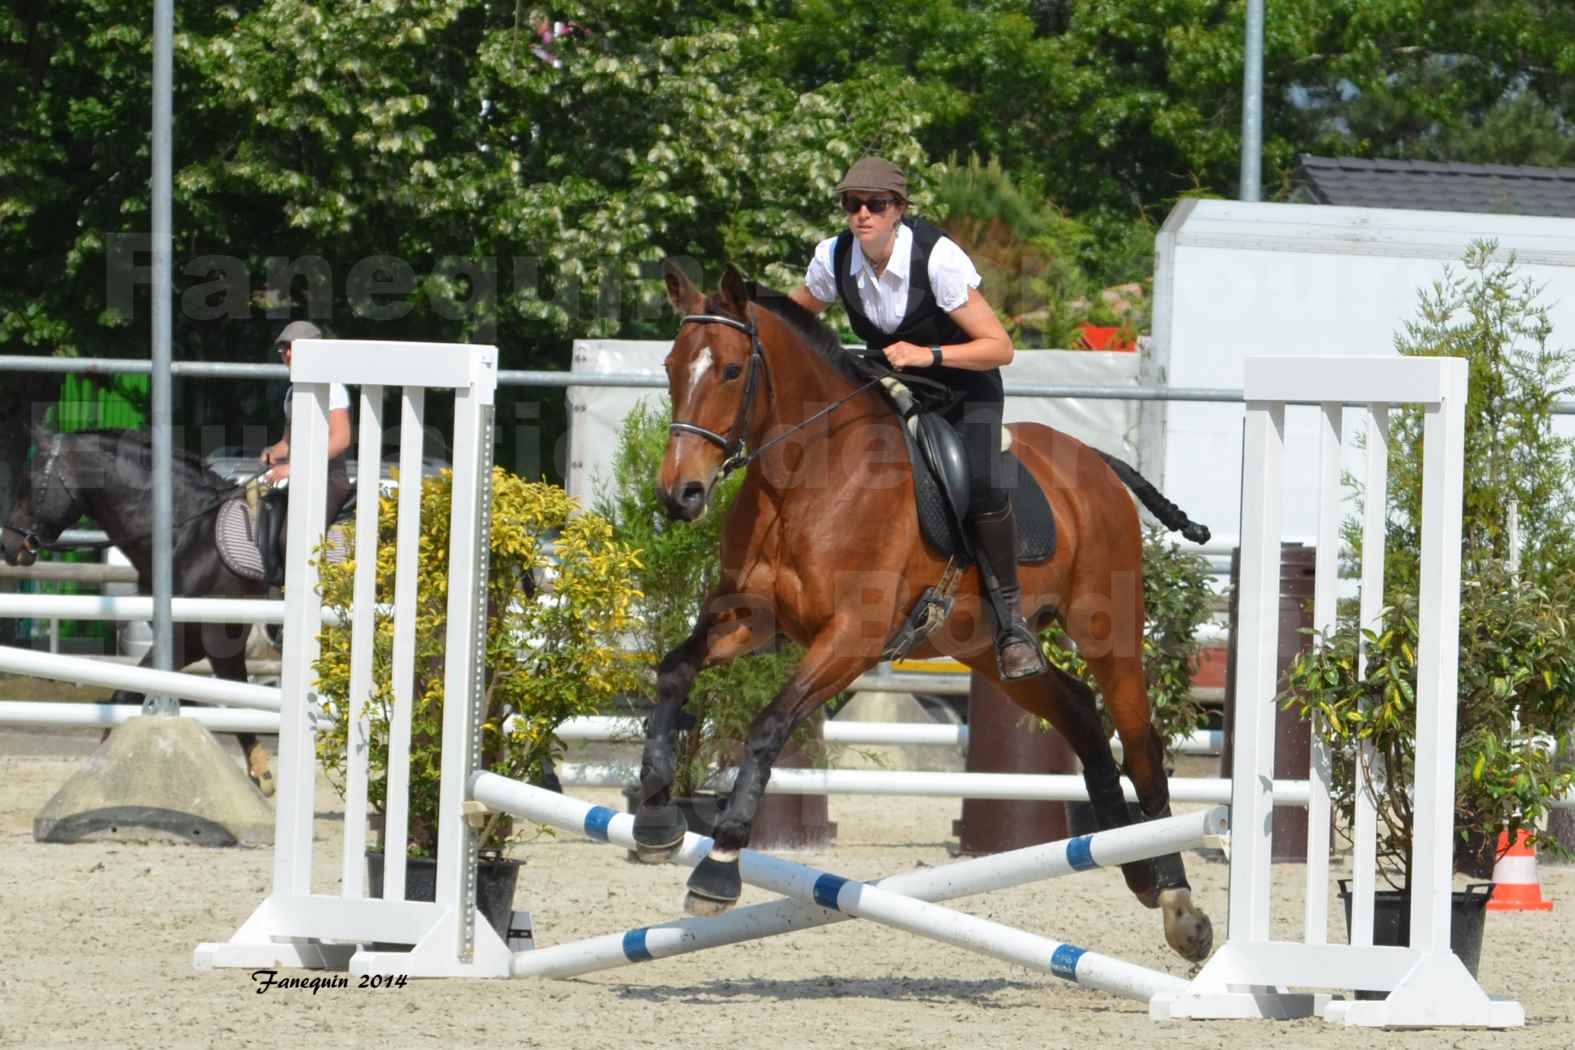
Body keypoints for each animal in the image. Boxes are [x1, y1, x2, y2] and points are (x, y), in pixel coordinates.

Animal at [0, 431, 275, 793]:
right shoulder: (204, 646)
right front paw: (261, 774)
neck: (192, 531)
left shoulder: (199, 640)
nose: (8, 545)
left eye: (29, 481)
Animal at [633, 261, 1209, 963]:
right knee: (1077, 710)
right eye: (670, 366)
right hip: (984, 648)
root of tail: (1097, 463)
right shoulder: (751, 618)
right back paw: (1131, 866)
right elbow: (673, 672)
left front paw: (718, 867)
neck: (804, 480)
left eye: (732, 371)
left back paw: (1179, 905)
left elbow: (769, 725)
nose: (679, 495)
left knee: (1142, 744)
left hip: (1108, 632)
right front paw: (655, 817)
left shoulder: (852, 638)